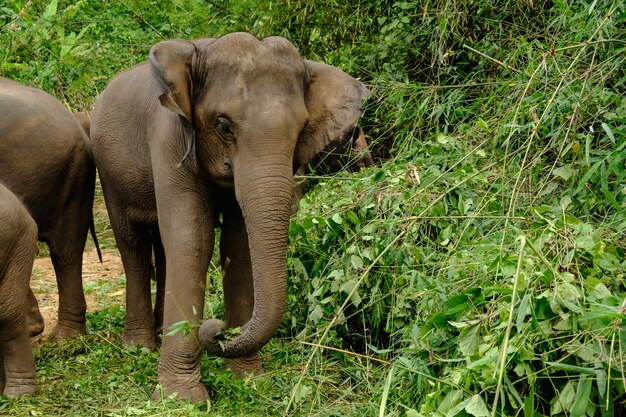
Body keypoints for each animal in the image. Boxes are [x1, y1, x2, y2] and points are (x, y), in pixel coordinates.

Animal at [90, 32, 368, 400]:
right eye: (223, 125)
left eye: (302, 128)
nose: (217, 329)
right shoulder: (168, 136)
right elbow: (192, 238)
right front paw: (182, 397)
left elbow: (238, 244)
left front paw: (247, 378)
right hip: (108, 171)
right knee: (132, 244)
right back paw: (139, 347)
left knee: (161, 248)